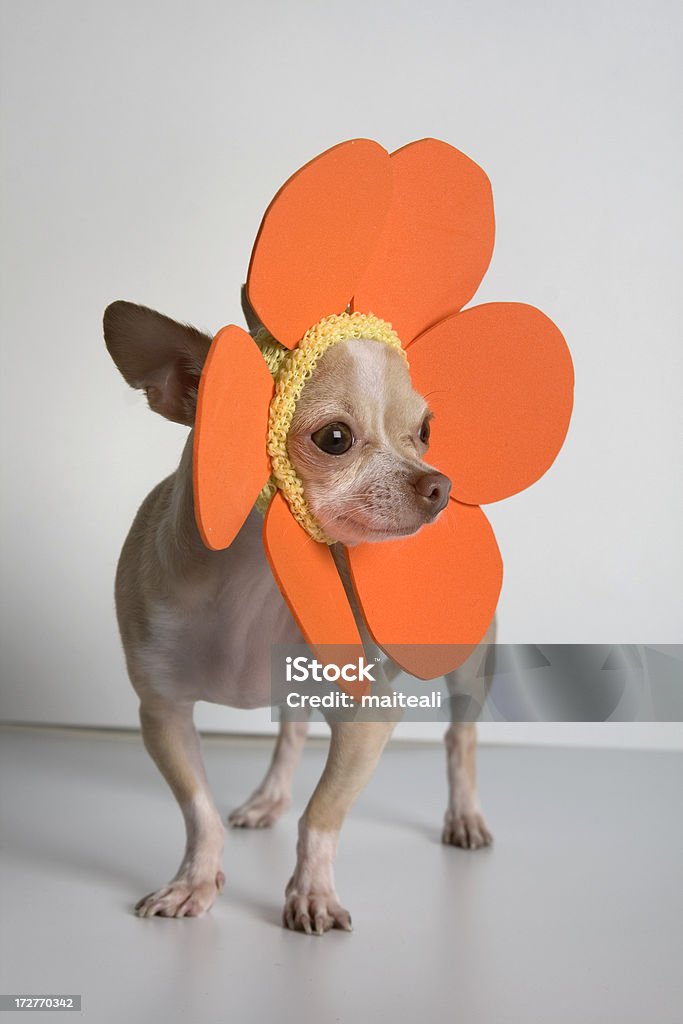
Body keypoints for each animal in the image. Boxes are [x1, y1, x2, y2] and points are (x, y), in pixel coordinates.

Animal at [104, 296, 493, 937]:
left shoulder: (368, 719)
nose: (439, 484)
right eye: (335, 438)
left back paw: (463, 816)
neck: (253, 582)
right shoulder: (163, 713)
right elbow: (199, 810)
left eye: (425, 431)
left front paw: (311, 893)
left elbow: (322, 814)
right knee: (292, 731)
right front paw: (193, 882)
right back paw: (269, 798)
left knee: (459, 739)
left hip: (466, 666)